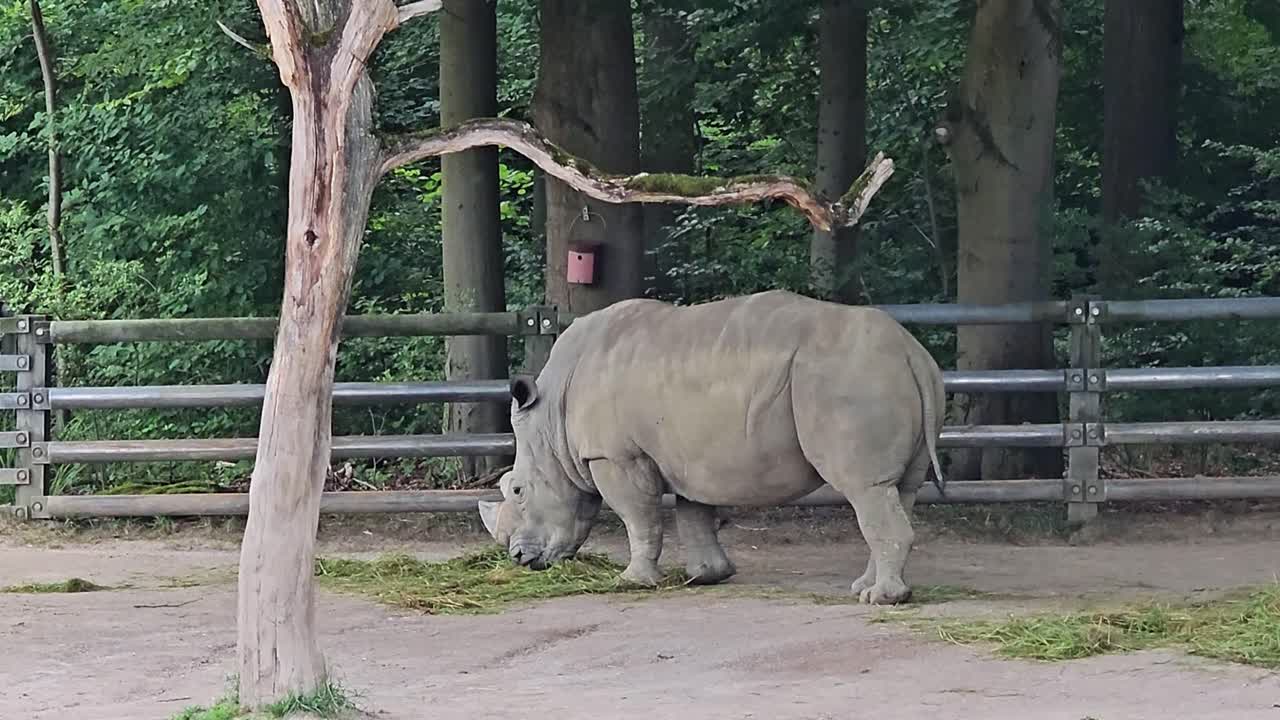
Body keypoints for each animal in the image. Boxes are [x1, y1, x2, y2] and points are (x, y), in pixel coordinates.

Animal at [478, 290, 945, 605]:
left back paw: (879, 599)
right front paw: (706, 576)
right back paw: (865, 588)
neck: (551, 424)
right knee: (898, 490)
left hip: (845, 378)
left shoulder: (615, 455)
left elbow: (639, 518)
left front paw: (633, 581)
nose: (519, 558)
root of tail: (911, 352)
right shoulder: (687, 456)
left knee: (864, 489)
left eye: (517, 489)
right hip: (889, 373)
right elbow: (694, 515)